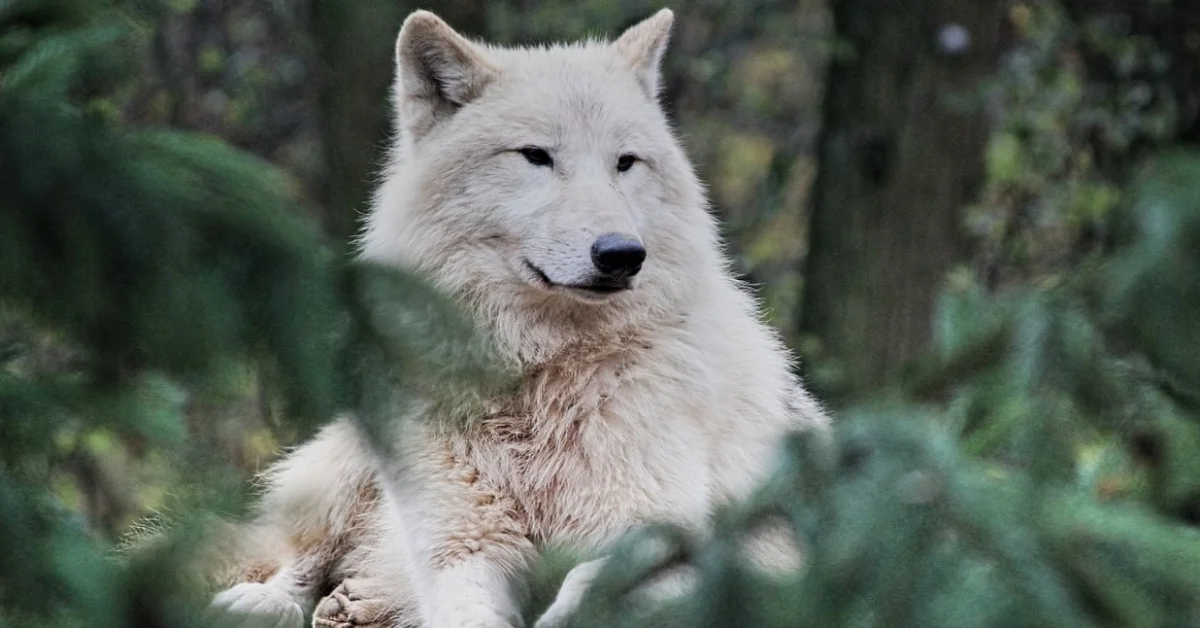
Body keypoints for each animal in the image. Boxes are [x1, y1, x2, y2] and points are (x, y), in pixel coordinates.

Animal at [205, 8, 827, 628]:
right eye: (536, 156)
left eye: (625, 163)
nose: (623, 253)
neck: (537, 378)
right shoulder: (463, 542)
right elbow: (463, 606)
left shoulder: (656, 542)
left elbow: (585, 593)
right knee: (303, 558)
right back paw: (275, 602)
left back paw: (355, 603)